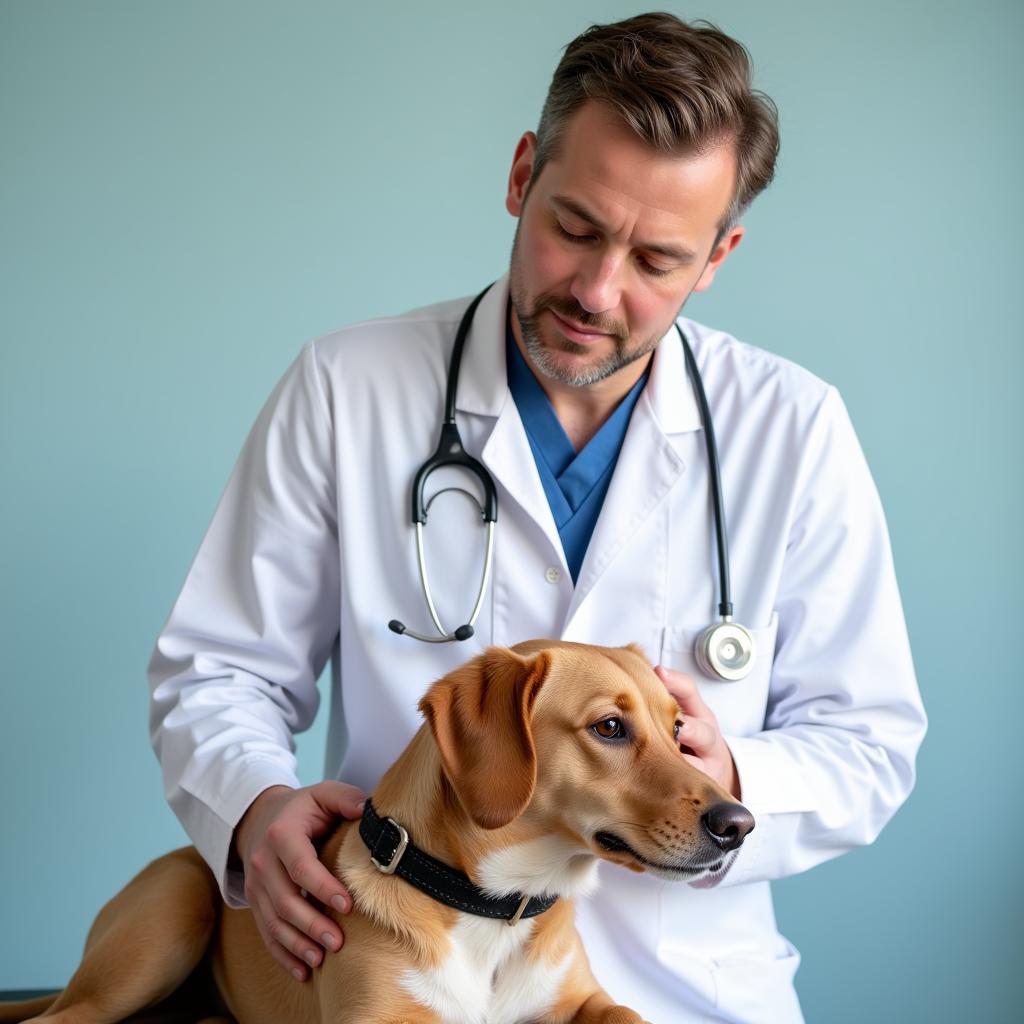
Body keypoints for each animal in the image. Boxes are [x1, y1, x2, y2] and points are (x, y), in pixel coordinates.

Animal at [0, 638, 753, 1024]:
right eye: (610, 727)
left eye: (679, 732)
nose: (739, 824)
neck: (492, 914)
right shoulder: (380, 1019)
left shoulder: (580, 1002)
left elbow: (628, 1015)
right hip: (167, 921)